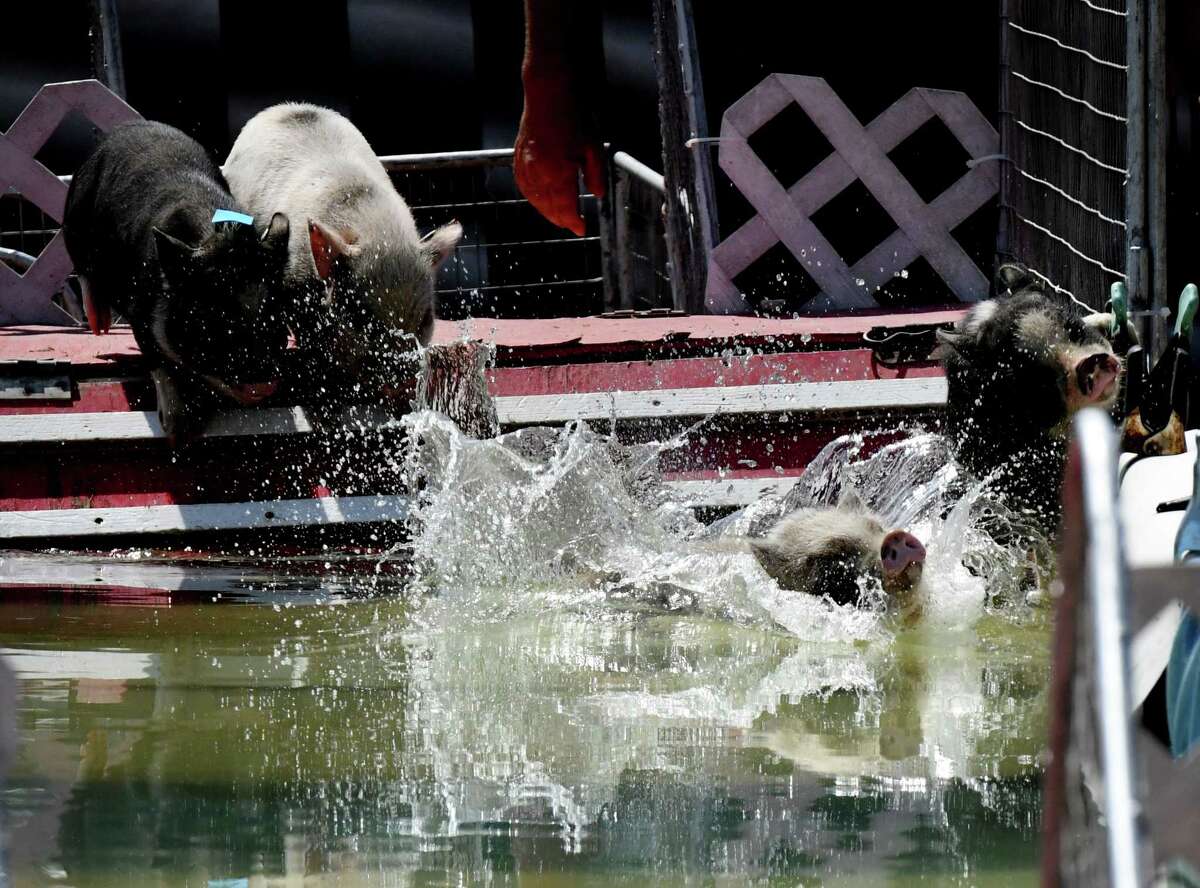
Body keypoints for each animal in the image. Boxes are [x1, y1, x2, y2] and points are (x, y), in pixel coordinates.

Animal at [63, 121, 292, 441]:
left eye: (276, 314)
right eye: (213, 320)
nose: (263, 383)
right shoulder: (140, 314)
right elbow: (161, 365)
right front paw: (178, 431)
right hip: (73, 218)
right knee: (82, 269)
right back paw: (100, 327)